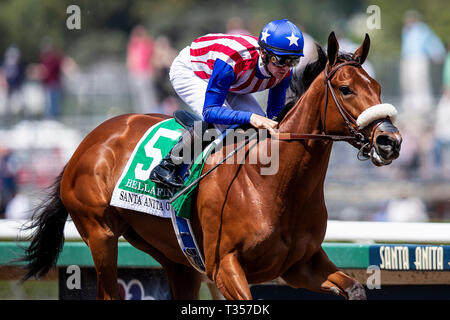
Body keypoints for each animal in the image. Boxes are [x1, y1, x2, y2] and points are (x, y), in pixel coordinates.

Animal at [21, 32, 400, 300]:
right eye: (346, 89)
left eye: (378, 87)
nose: (390, 141)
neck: (273, 185)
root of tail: (87, 143)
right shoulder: (225, 267)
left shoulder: (300, 265)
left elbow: (355, 288)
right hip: (100, 234)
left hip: (174, 257)